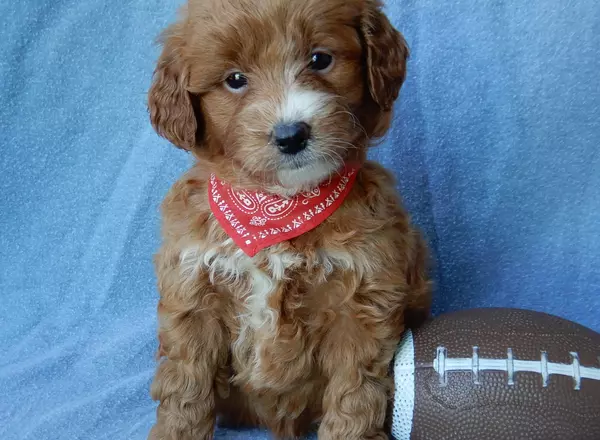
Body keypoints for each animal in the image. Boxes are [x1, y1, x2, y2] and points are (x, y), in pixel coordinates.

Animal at [150, 0, 432, 440]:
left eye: (320, 59)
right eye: (235, 80)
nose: (291, 135)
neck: (276, 207)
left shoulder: (361, 300)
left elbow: (354, 392)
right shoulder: (193, 291)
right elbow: (185, 386)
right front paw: (176, 430)